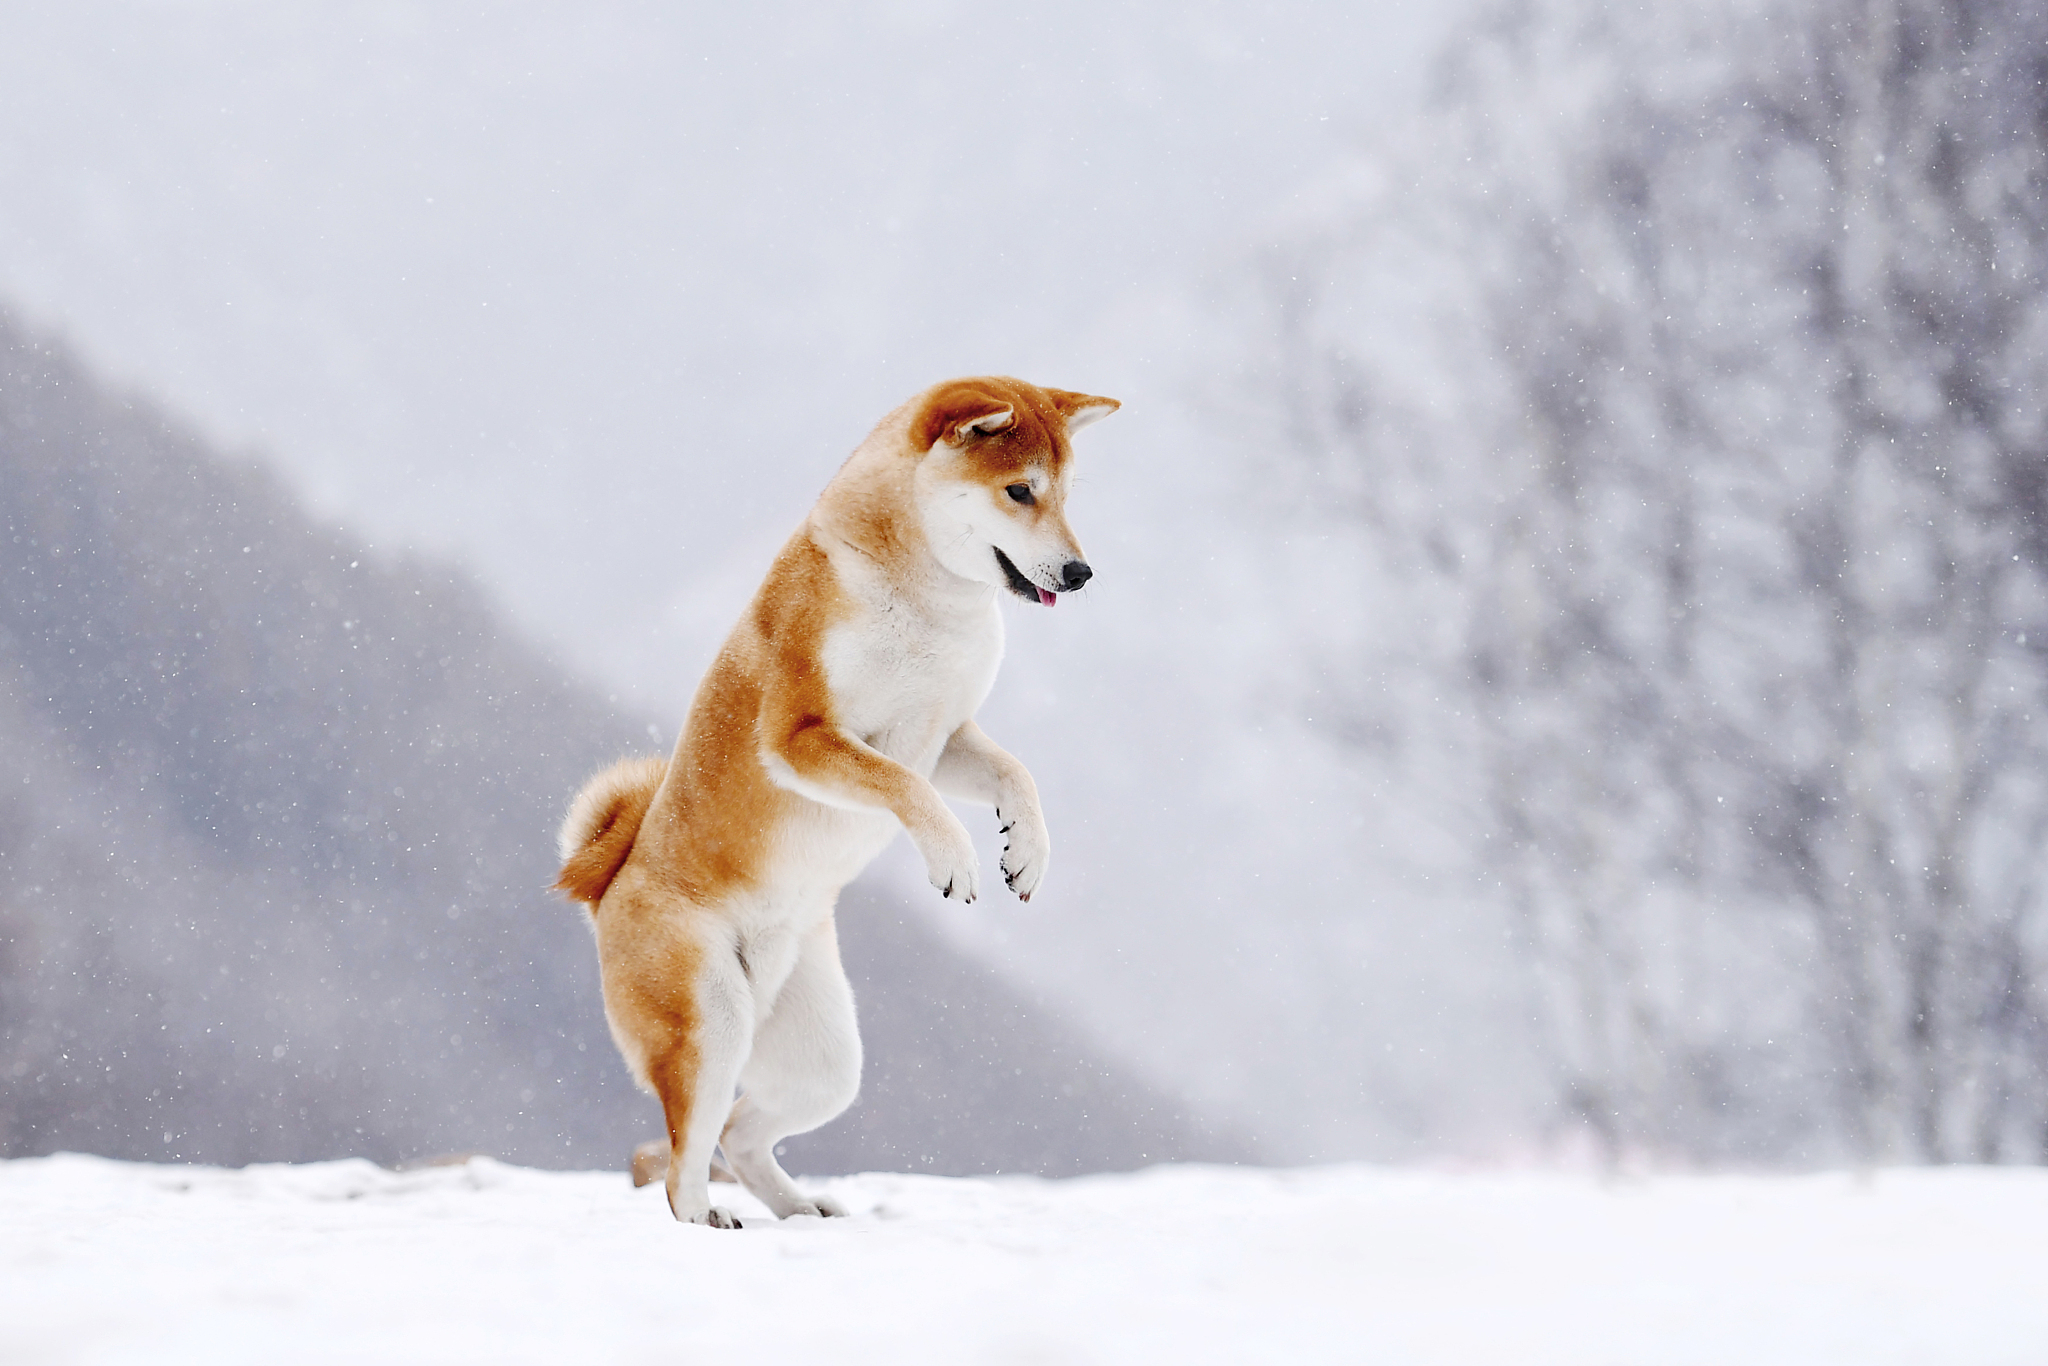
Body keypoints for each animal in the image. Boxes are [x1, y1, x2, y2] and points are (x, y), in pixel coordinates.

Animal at [557, 374, 1122, 1228]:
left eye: (1065, 495)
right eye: (1020, 490)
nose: (1082, 572)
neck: (925, 599)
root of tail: (609, 888)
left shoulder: (945, 733)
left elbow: (1013, 774)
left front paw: (1026, 848)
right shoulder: (801, 737)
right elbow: (905, 786)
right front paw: (956, 859)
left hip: (824, 1059)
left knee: (739, 1135)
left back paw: (800, 1208)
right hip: (714, 1019)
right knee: (685, 1160)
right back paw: (710, 1221)